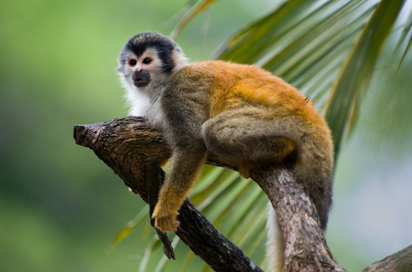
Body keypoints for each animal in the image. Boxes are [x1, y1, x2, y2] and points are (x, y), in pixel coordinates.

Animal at [116, 32, 334, 272]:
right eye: (132, 62)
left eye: (147, 61)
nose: (137, 71)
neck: (163, 83)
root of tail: (314, 118)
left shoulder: (177, 93)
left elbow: (192, 143)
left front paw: (165, 210)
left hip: (284, 119)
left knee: (213, 131)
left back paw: (281, 148)